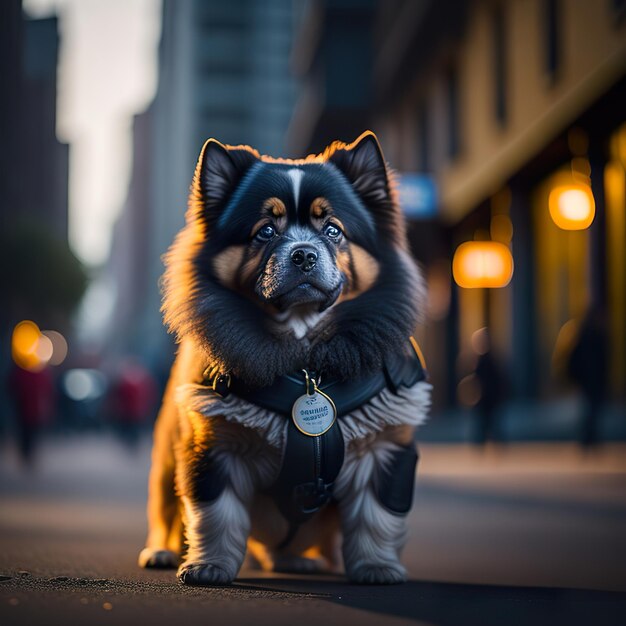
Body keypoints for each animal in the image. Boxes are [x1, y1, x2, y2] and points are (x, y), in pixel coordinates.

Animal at [136, 129, 428, 584]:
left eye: (333, 230)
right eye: (265, 231)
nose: (304, 253)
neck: (304, 359)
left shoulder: (386, 449)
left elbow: (376, 518)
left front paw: (377, 567)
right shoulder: (213, 449)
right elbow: (214, 515)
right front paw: (209, 566)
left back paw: (296, 560)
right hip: (168, 458)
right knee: (166, 511)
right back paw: (162, 552)